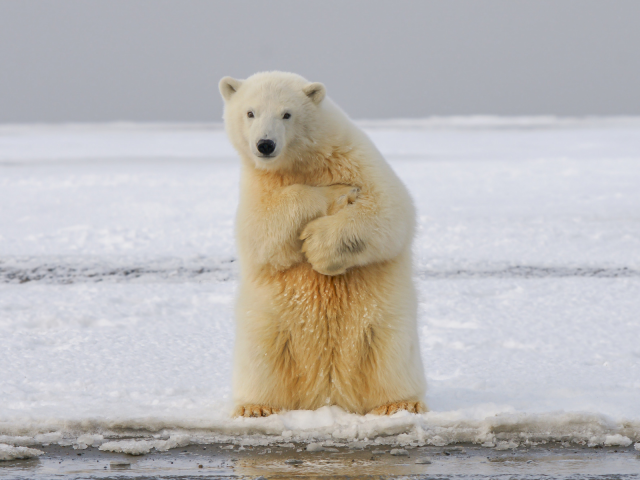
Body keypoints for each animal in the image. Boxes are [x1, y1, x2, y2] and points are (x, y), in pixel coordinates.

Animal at [219, 71, 424, 416]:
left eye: (287, 114)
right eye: (250, 112)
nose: (265, 145)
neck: (304, 161)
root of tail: (328, 395)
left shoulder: (356, 158)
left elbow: (389, 210)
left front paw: (318, 246)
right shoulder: (257, 185)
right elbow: (260, 231)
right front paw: (334, 193)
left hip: (384, 323)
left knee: (389, 356)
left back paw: (399, 404)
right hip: (269, 325)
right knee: (262, 358)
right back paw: (256, 407)